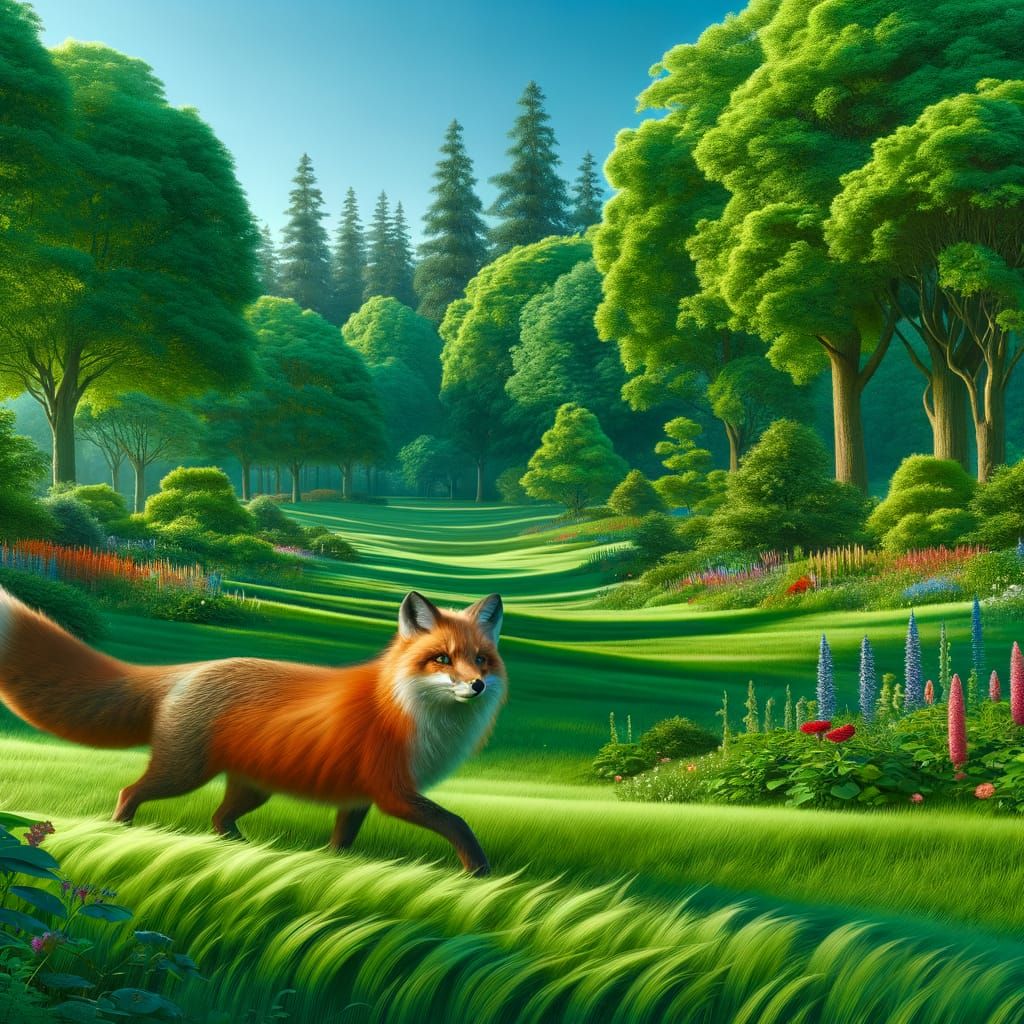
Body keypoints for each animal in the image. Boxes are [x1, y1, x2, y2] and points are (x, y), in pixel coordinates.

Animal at [0, 587, 506, 876]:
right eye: (441, 658)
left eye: (481, 660)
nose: (477, 686)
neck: (404, 708)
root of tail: (188, 669)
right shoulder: (392, 791)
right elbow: (457, 823)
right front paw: (479, 872)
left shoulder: (358, 797)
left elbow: (342, 842)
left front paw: (331, 866)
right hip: (183, 773)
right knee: (131, 791)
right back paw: (121, 832)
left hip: (251, 789)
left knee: (219, 819)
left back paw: (253, 852)